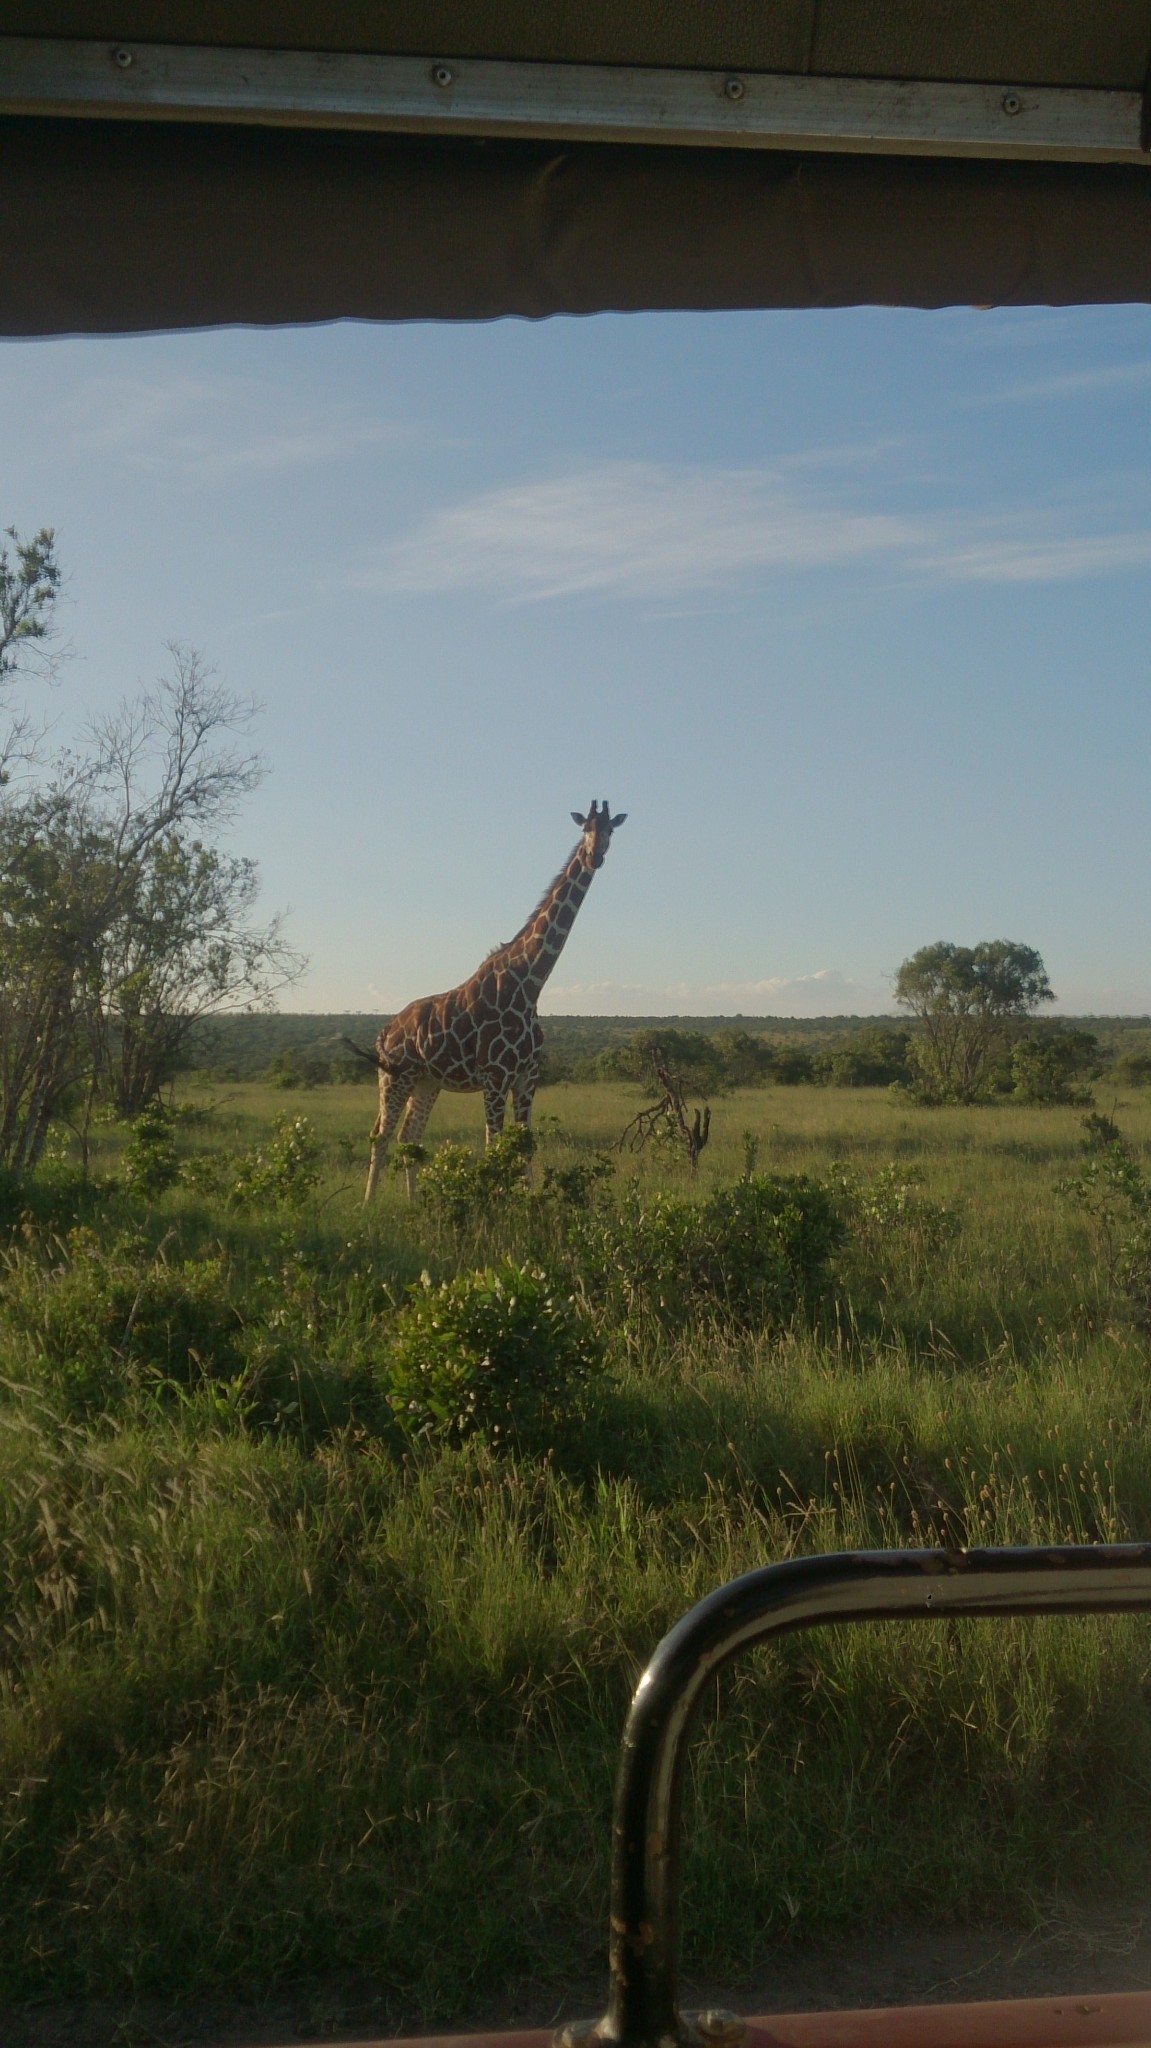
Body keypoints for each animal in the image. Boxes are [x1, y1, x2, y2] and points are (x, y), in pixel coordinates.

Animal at [362, 802, 622, 1196]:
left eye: (611, 830)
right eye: (585, 829)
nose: (595, 857)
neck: (530, 983)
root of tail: (384, 1031)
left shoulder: (527, 1075)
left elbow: (525, 1144)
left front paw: (528, 1201)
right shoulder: (496, 1076)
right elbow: (494, 1145)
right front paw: (498, 1201)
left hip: (426, 1081)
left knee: (410, 1137)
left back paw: (413, 1202)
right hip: (394, 1078)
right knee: (381, 1136)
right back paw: (368, 1204)